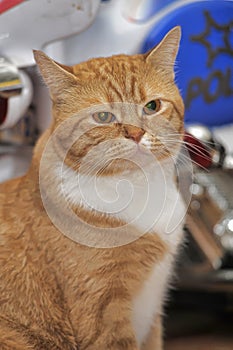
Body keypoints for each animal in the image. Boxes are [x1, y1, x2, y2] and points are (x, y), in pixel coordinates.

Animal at [0, 28, 186, 350]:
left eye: (151, 107)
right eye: (103, 117)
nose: (136, 133)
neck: (136, 186)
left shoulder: (152, 318)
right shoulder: (104, 316)